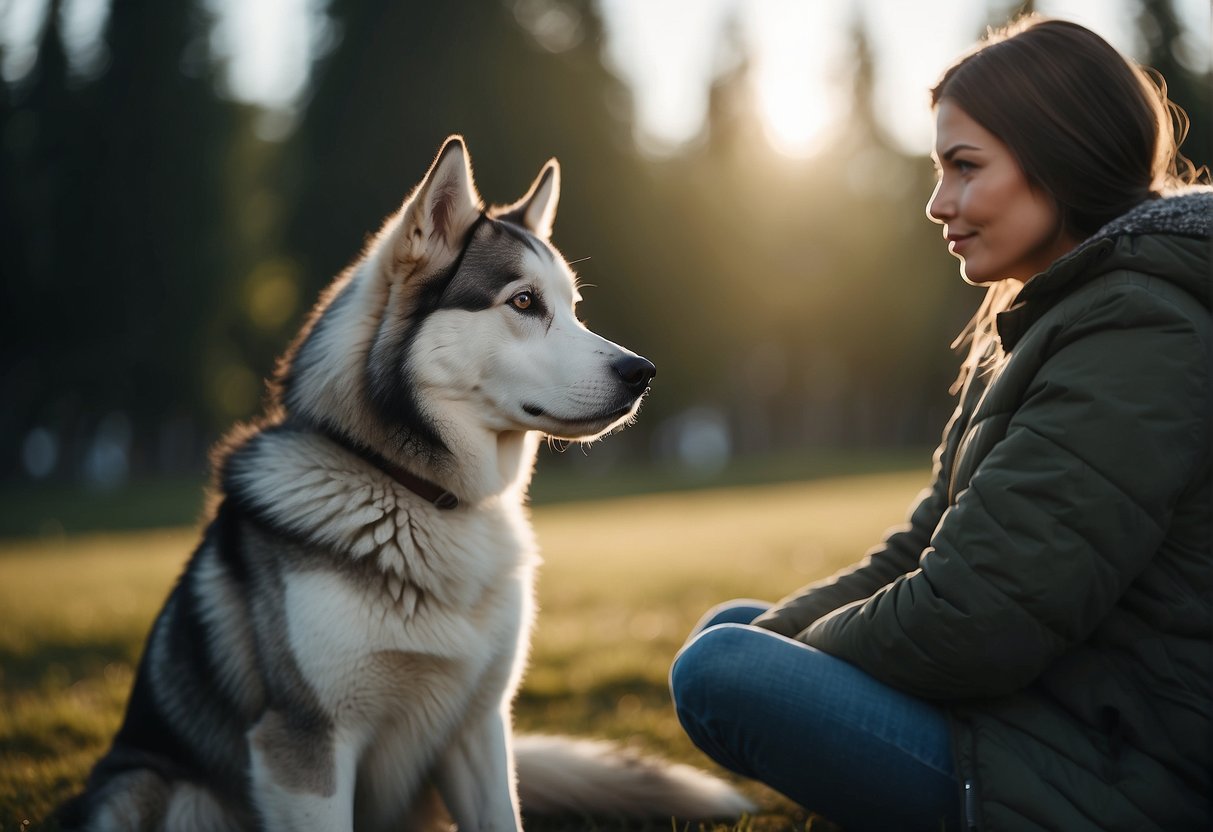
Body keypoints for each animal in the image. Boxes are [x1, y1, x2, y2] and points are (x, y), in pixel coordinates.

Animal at [63, 140, 756, 829]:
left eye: (575, 311)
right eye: (524, 302)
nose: (643, 372)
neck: (425, 498)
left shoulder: (479, 729)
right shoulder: (305, 749)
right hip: (151, 791)